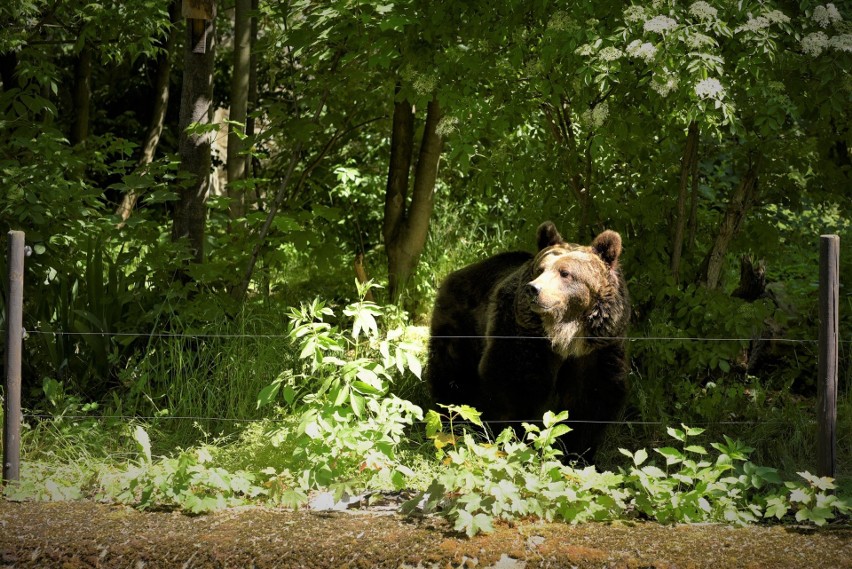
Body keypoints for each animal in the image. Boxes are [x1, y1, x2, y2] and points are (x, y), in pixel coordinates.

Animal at [430, 220, 628, 460]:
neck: (565, 335)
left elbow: (591, 398)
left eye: (565, 272)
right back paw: (454, 417)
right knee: (453, 370)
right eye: (540, 269)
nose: (534, 289)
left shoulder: (598, 348)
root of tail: (465, 269)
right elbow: (514, 384)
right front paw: (514, 440)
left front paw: (577, 454)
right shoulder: (523, 337)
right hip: (462, 323)